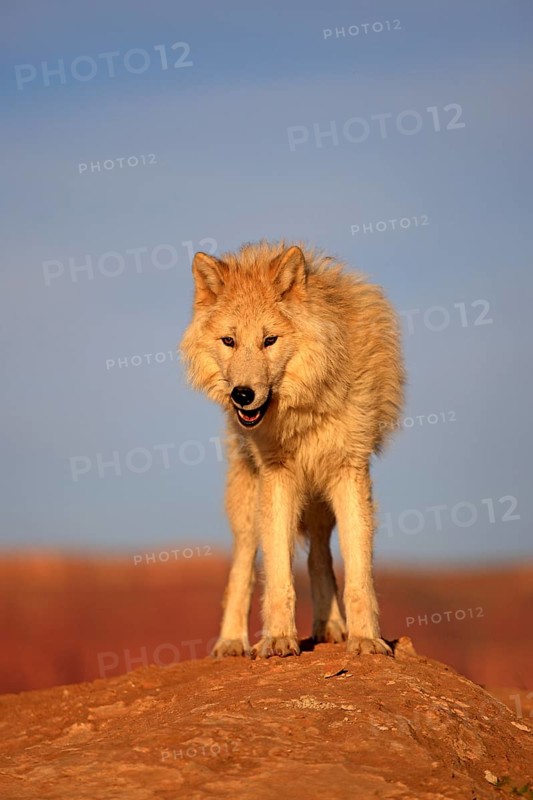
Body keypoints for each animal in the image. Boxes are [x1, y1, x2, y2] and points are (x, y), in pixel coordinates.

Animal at [180, 240, 404, 658]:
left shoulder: (350, 471)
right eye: (229, 341)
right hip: (247, 501)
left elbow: (358, 574)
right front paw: (279, 638)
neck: (303, 408)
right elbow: (278, 573)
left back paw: (330, 628)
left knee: (319, 555)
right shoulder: (277, 476)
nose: (242, 395)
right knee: (242, 566)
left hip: (320, 504)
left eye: (270, 340)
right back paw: (231, 642)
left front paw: (366, 639)